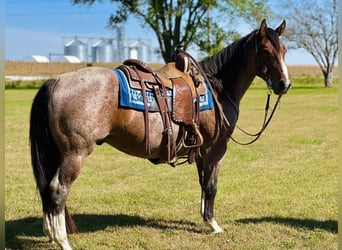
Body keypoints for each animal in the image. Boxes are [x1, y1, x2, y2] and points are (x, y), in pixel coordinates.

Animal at [30, 19, 292, 248]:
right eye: (266, 50)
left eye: (285, 50)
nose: (284, 84)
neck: (218, 88)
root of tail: (55, 82)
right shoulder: (216, 149)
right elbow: (211, 186)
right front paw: (214, 225)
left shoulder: (201, 150)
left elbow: (202, 183)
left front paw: (205, 218)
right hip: (75, 153)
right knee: (58, 190)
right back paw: (63, 241)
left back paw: (51, 235)